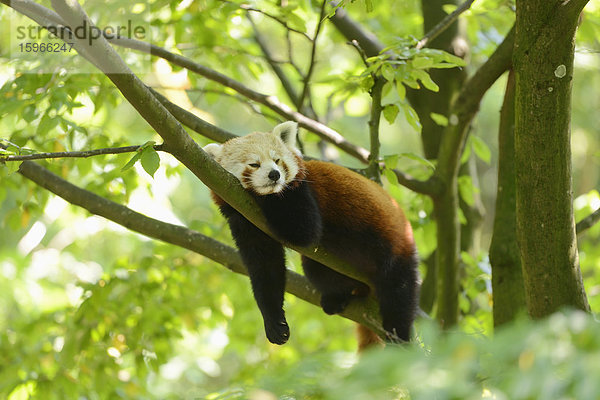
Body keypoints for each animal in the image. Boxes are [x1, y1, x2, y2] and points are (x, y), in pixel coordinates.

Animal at [202, 120, 418, 348]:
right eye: (254, 164)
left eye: (277, 160)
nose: (274, 175)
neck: (252, 208)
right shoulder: (246, 223)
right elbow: (265, 268)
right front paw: (274, 322)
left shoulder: (301, 193)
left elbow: (304, 230)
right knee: (316, 271)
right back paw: (337, 298)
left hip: (395, 250)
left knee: (398, 294)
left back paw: (398, 336)